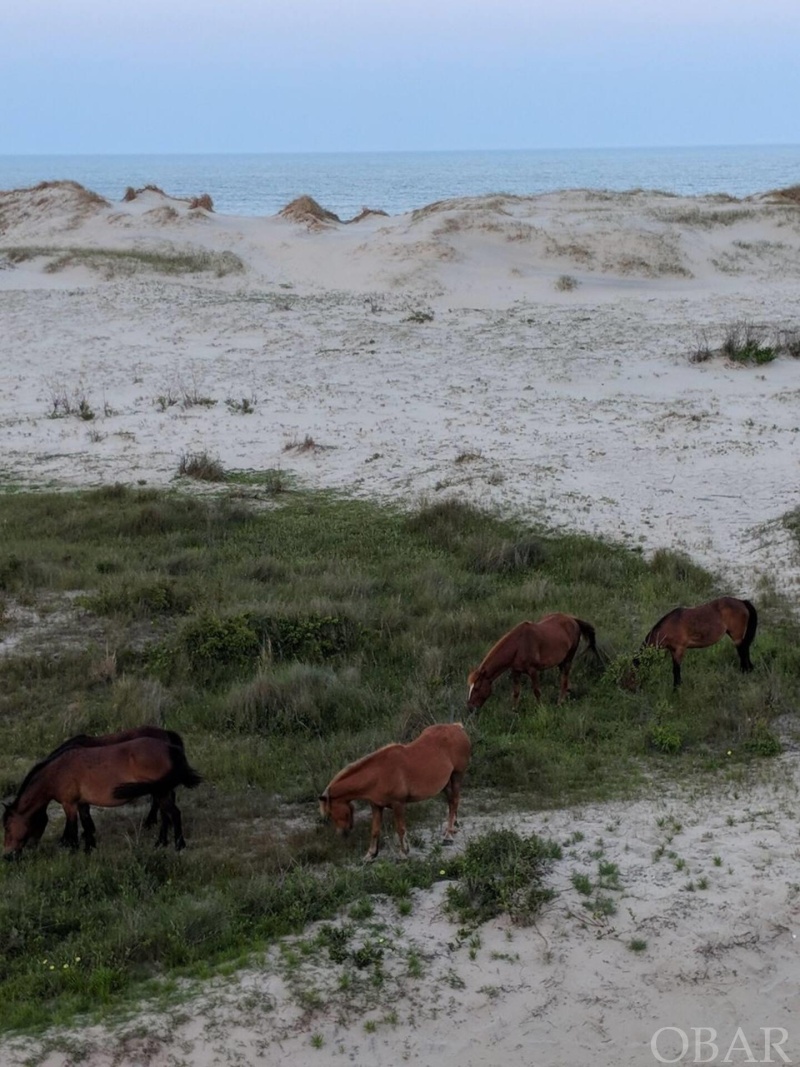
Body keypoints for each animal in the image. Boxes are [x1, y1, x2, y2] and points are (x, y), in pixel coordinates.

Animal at [4, 734, 203, 857]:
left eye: (7, 827)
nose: (7, 855)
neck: (57, 771)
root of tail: (170, 747)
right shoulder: (82, 803)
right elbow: (86, 824)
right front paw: (89, 848)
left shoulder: (69, 804)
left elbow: (72, 828)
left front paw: (74, 850)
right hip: (162, 792)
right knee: (165, 815)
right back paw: (161, 843)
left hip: (161, 792)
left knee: (174, 814)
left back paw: (179, 845)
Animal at [317, 721, 473, 862]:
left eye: (330, 812)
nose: (342, 834)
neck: (378, 774)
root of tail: (457, 727)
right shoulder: (376, 806)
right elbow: (375, 830)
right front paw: (370, 854)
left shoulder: (398, 804)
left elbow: (400, 828)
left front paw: (403, 853)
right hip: (445, 783)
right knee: (451, 802)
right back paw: (453, 827)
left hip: (457, 776)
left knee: (454, 801)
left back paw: (448, 836)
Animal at [462, 614, 601, 712]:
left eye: (477, 688)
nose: (470, 708)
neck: (518, 645)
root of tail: (572, 619)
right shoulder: (516, 671)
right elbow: (516, 692)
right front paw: (514, 710)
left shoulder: (533, 671)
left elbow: (536, 691)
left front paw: (540, 708)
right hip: (561, 661)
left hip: (568, 659)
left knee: (564, 680)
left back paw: (560, 702)